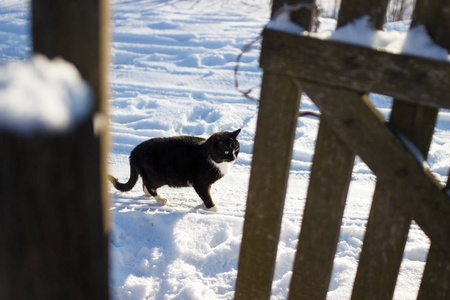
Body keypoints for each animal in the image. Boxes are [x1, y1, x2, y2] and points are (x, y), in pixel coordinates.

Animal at [107, 129, 241, 211]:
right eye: (226, 151)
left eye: (236, 149)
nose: (234, 157)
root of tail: (134, 152)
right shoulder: (200, 182)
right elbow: (206, 195)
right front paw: (211, 207)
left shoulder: (207, 183)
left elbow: (206, 194)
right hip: (158, 176)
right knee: (150, 185)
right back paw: (160, 199)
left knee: (145, 182)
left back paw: (149, 194)